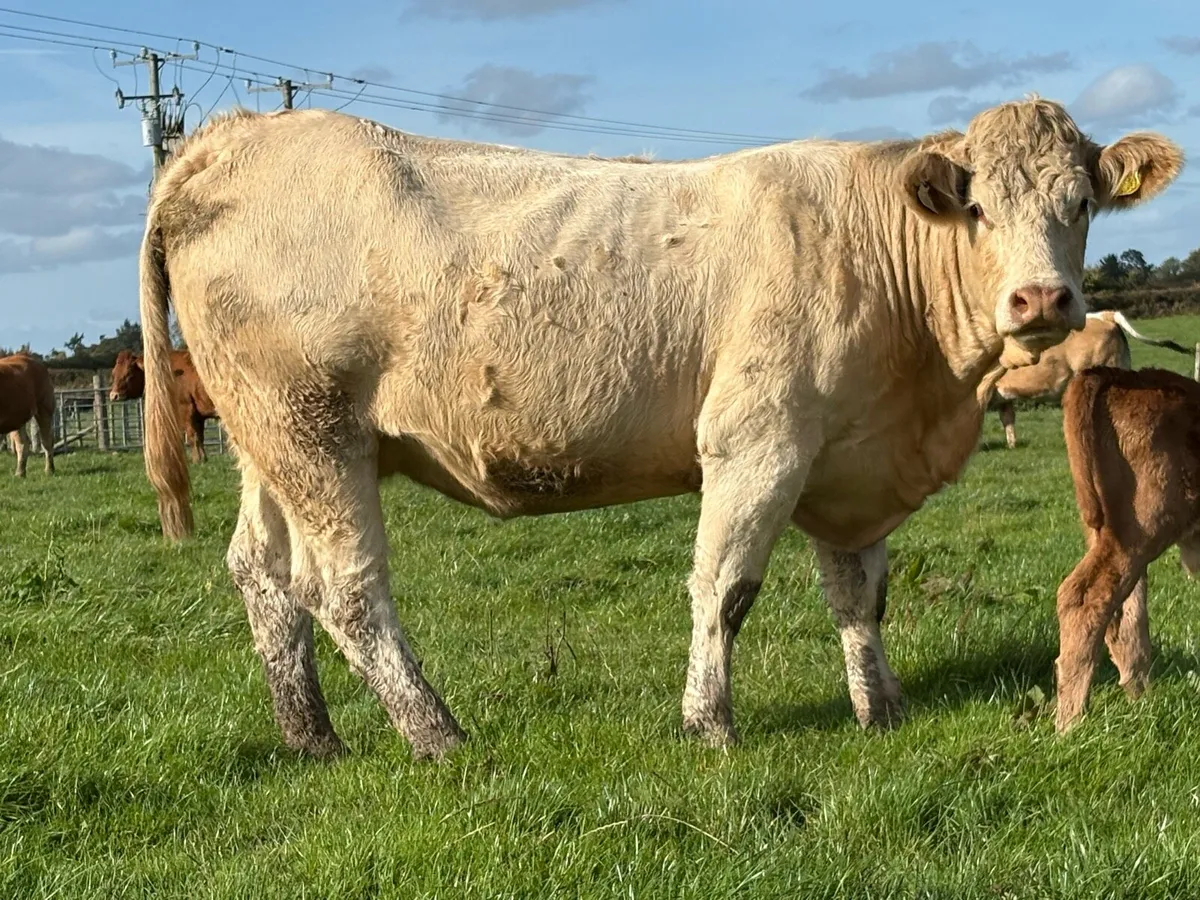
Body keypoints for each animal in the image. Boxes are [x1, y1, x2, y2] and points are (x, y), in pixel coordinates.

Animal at [1056, 366, 1200, 732]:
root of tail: (1119, 375)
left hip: (1111, 535)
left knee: (1125, 616)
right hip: (1143, 529)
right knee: (1085, 599)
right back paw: (1070, 723)